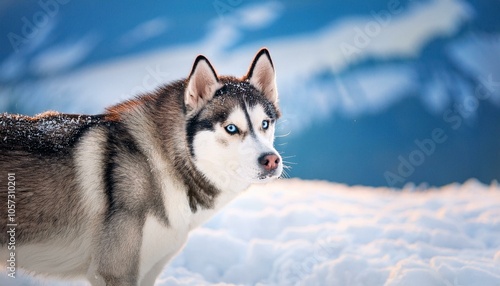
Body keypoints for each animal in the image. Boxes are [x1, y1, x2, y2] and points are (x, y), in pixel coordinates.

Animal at [0, 48, 282, 284]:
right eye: (231, 128)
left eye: (265, 124)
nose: (271, 160)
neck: (160, 167)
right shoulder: (115, 271)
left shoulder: (148, 269)